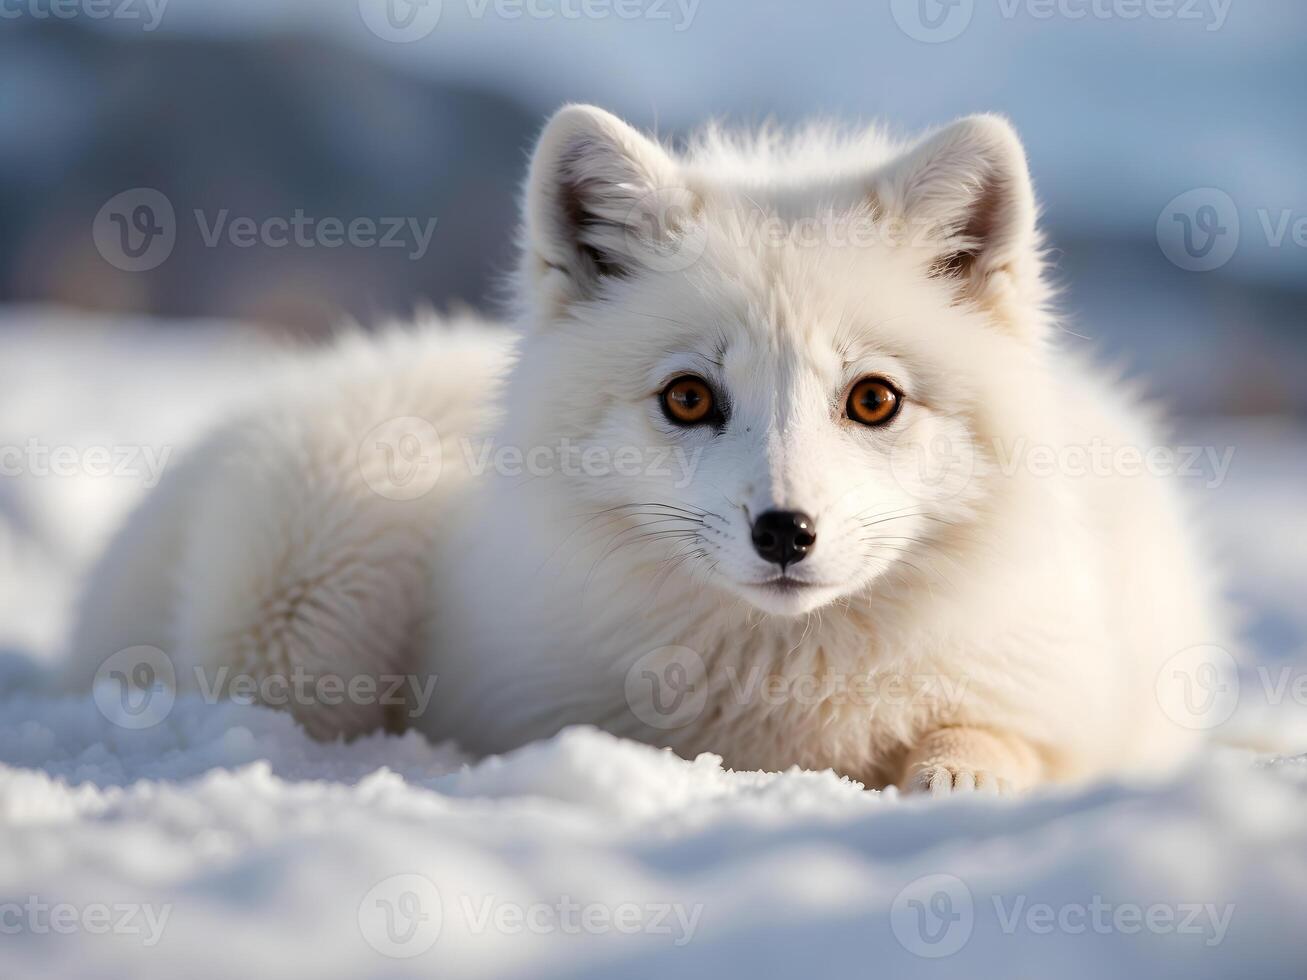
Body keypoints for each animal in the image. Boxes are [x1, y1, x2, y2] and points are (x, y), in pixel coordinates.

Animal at [68, 107, 1223, 794]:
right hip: (314, 574)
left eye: (873, 399)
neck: (777, 692)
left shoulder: (1065, 696)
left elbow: (1001, 740)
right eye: (688, 397)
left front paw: (954, 771)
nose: (784, 531)